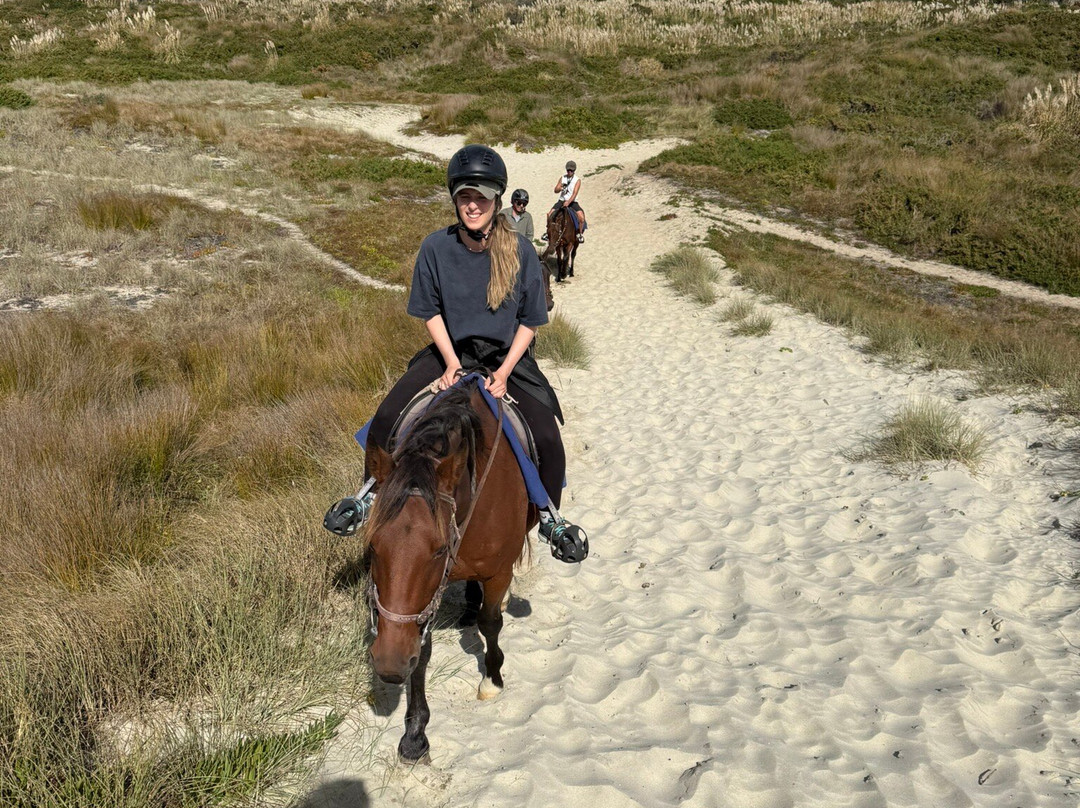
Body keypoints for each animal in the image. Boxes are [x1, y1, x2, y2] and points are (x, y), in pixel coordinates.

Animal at [362, 377, 536, 761]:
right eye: (372, 546)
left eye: (439, 548)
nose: (389, 664)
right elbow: (422, 649)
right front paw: (414, 733)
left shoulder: (498, 571)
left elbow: (491, 623)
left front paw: (492, 678)